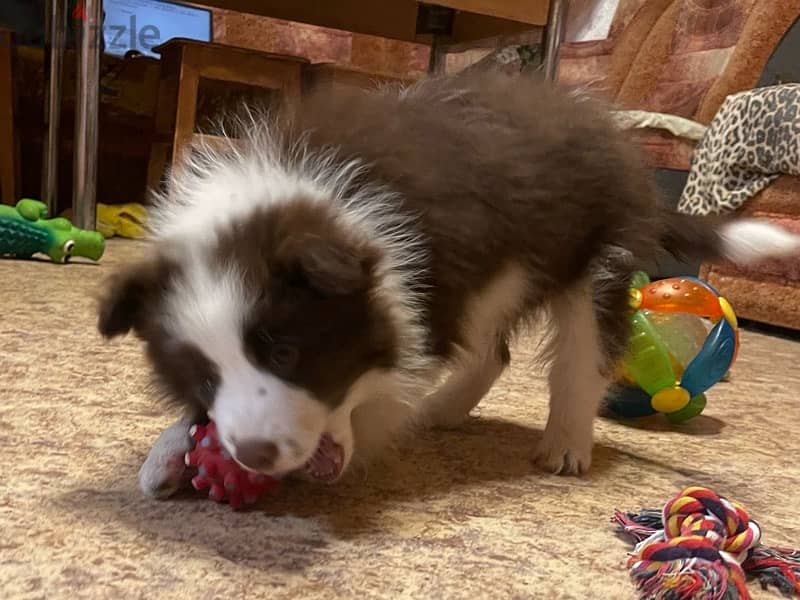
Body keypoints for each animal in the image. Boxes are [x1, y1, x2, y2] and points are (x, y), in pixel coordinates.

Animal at [98, 71, 800, 496]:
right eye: (204, 379)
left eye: (287, 353)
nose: (256, 455)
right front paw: (169, 453)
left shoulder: (422, 295)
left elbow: (386, 388)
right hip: (499, 282)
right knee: (494, 349)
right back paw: (445, 410)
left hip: (595, 259)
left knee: (584, 355)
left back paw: (566, 444)